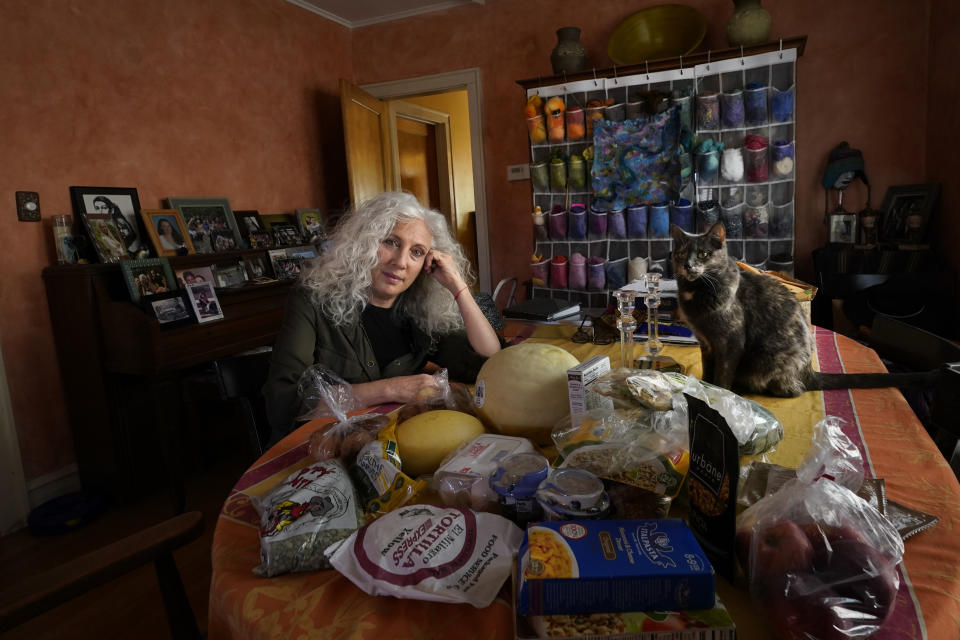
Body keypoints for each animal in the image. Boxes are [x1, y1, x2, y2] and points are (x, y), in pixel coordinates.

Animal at [672, 224, 932, 396]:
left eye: (704, 254)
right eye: (681, 253)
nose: (688, 265)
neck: (696, 292)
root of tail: (809, 371)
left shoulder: (730, 342)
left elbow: (722, 374)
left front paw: (719, 393)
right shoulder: (706, 343)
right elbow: (708, 369)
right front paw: (702, 387)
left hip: (768, 358)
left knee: (792, 390)